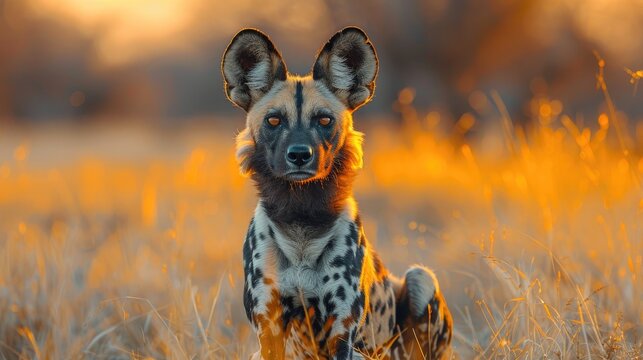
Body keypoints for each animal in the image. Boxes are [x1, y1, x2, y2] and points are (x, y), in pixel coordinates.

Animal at [223, 26, 452, 358]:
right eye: (274, 120)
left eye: (324, 120)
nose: (299, 155)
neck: (302, 222)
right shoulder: (269, 329)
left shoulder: (342, 331)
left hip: (420, 278)